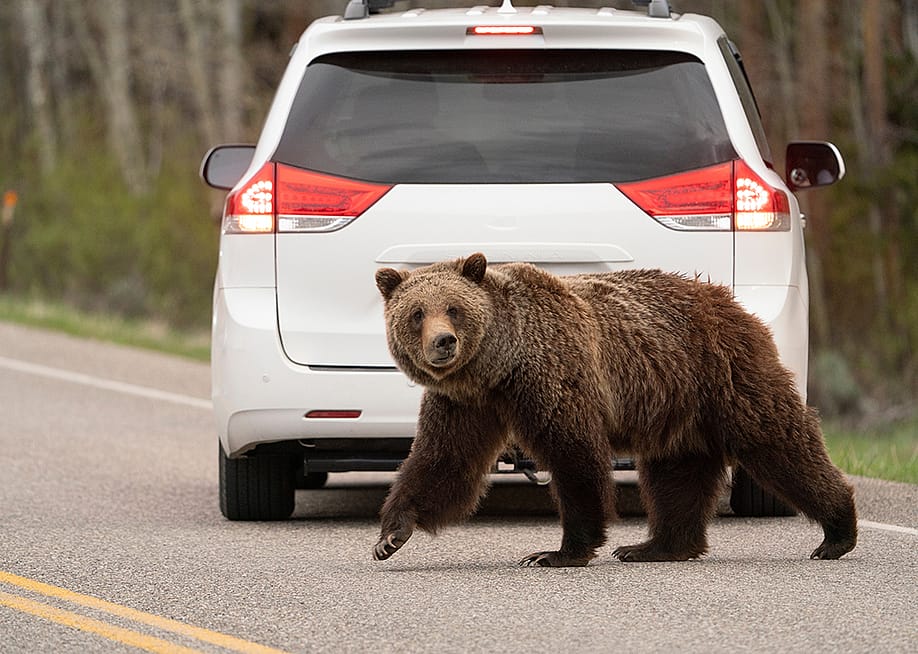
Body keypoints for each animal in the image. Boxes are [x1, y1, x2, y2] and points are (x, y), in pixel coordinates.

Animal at [372, 253, 857, 566]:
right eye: (417, 313)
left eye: (454, 308)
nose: (443, 342)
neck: (500, 365)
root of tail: (729, 301)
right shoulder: (466, 403)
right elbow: (444, 460)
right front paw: (391, 535)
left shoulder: (553, 375)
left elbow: (574, 457)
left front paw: (557, 552)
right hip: (678, 405)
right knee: (676, 474)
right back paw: (655, 547)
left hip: (724, 373)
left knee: (778, 441)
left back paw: (837, 532)